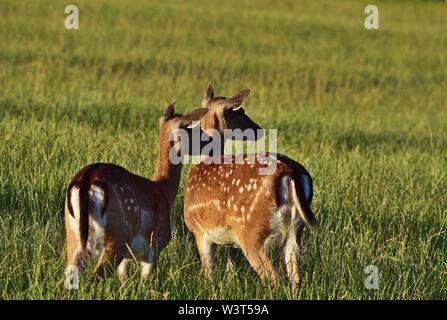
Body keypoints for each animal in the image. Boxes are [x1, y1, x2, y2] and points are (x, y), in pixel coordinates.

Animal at [64, 103, 209, 280]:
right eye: (195, 130)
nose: (211, 140)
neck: (163, 191)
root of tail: (86, 181)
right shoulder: (155, 245)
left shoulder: (130, 256)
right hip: (117, 236)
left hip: (73, 235)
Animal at [184, 84, 320, 288]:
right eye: (241, 111)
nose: (258, 129)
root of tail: (290, 173)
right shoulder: (232, 242)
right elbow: (230, 268)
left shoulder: (199, 230)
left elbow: (208, 271)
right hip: (296, 230)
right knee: (296, 277)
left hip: (252, 230)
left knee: (274, 278)